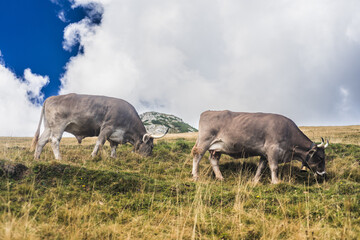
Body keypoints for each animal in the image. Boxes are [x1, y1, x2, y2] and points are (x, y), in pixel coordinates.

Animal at [30, 93, 168, 159]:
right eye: (151, 146)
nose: (148, 157)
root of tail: (50, 98)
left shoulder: (115, 135)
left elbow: (114, 147)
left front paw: (113, 158)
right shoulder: (107, 128)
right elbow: (99, 142)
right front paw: (92, 156)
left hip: (49, 127)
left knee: (41, 141)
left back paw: (37, 157)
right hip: (58, 125)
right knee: (54, 140)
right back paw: (59, 158)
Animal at [191, 111, 330, 184]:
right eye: (320, 157)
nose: (323, 173)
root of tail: (208, 112)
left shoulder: (264, 153)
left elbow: (261, 167)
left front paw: (255, 180)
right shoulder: (272, 149)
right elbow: (274, 167)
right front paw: (275, 181)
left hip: (217, 148)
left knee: (214, 160)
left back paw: (220, 177)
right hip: (204, 141)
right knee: (197, 156)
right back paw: (196, 176)